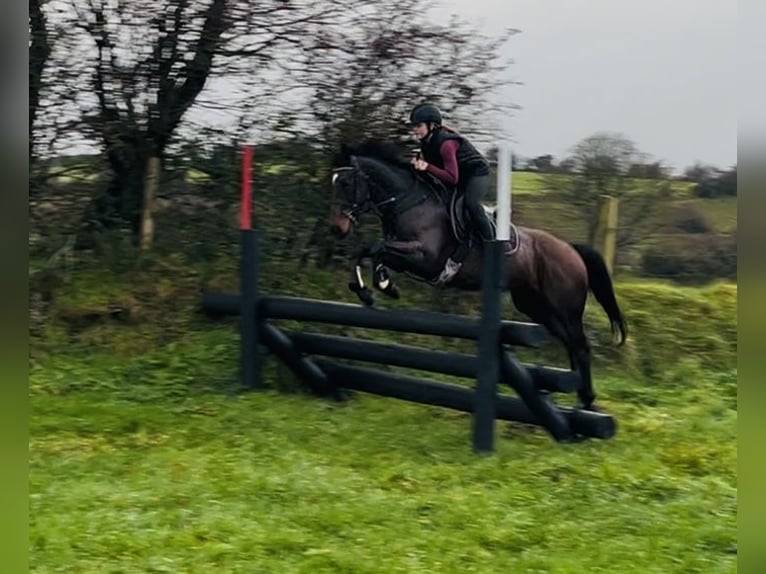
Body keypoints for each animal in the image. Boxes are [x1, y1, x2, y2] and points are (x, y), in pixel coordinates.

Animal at [328, 141, 627, 411]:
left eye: (346, 183)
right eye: (334, 182)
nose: (336, 229)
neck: (409, 202)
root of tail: (571, 249)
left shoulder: (426, 259)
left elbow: (377, 249)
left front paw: (383, 285)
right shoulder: (405, 256)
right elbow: (367, 251)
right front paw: (369, 288)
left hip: (566, 308)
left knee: (581, 346)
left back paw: (587, 398)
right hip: (535, 306)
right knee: (569, 343)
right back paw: (579, 392)